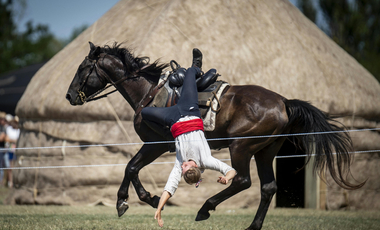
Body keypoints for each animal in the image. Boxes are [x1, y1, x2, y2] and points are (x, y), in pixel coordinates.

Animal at [66, 41, 366, 230]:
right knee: (268, 187)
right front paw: (144, 198)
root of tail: (283, 101)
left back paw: (205, 208)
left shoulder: (156, 145)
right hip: (265, 151)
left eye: (82, 69)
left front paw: (124, 200)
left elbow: (130, 167)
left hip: (241, 147)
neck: (148, 92)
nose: (69, 96)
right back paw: (252, 226)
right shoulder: (155, 146)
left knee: (243, 180)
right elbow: (133, 168)